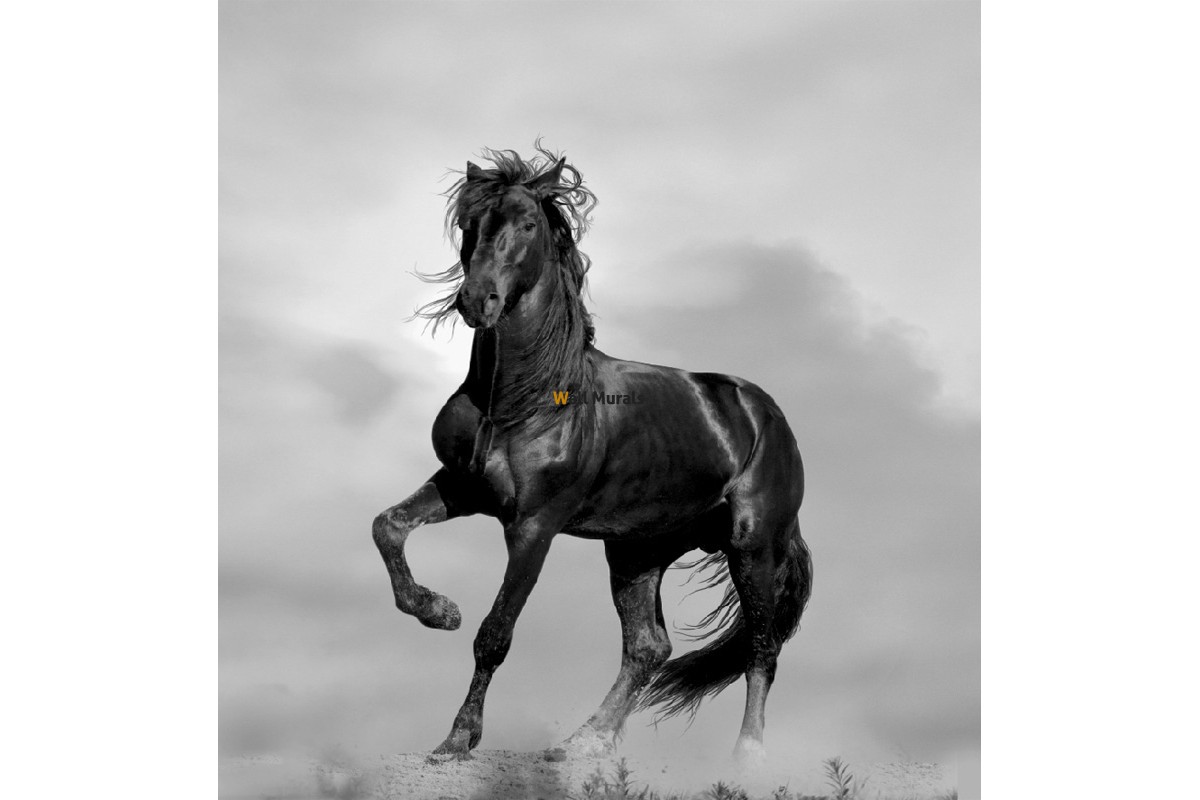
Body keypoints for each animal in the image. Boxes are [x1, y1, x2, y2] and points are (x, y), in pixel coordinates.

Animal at [372, 144, 812, 765]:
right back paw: (584, 742)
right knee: (649, 646)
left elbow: (495, 634)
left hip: (753, 546)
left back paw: (747, 758)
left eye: (528, 225)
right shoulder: (460, 487)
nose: (477, 301)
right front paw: (438, 610)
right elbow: (387, 527)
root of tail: (767, 415)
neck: (521, 399)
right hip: (637, 550)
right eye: (468, 224)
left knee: (761, 649)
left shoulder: (534, 525)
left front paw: (458, 739)